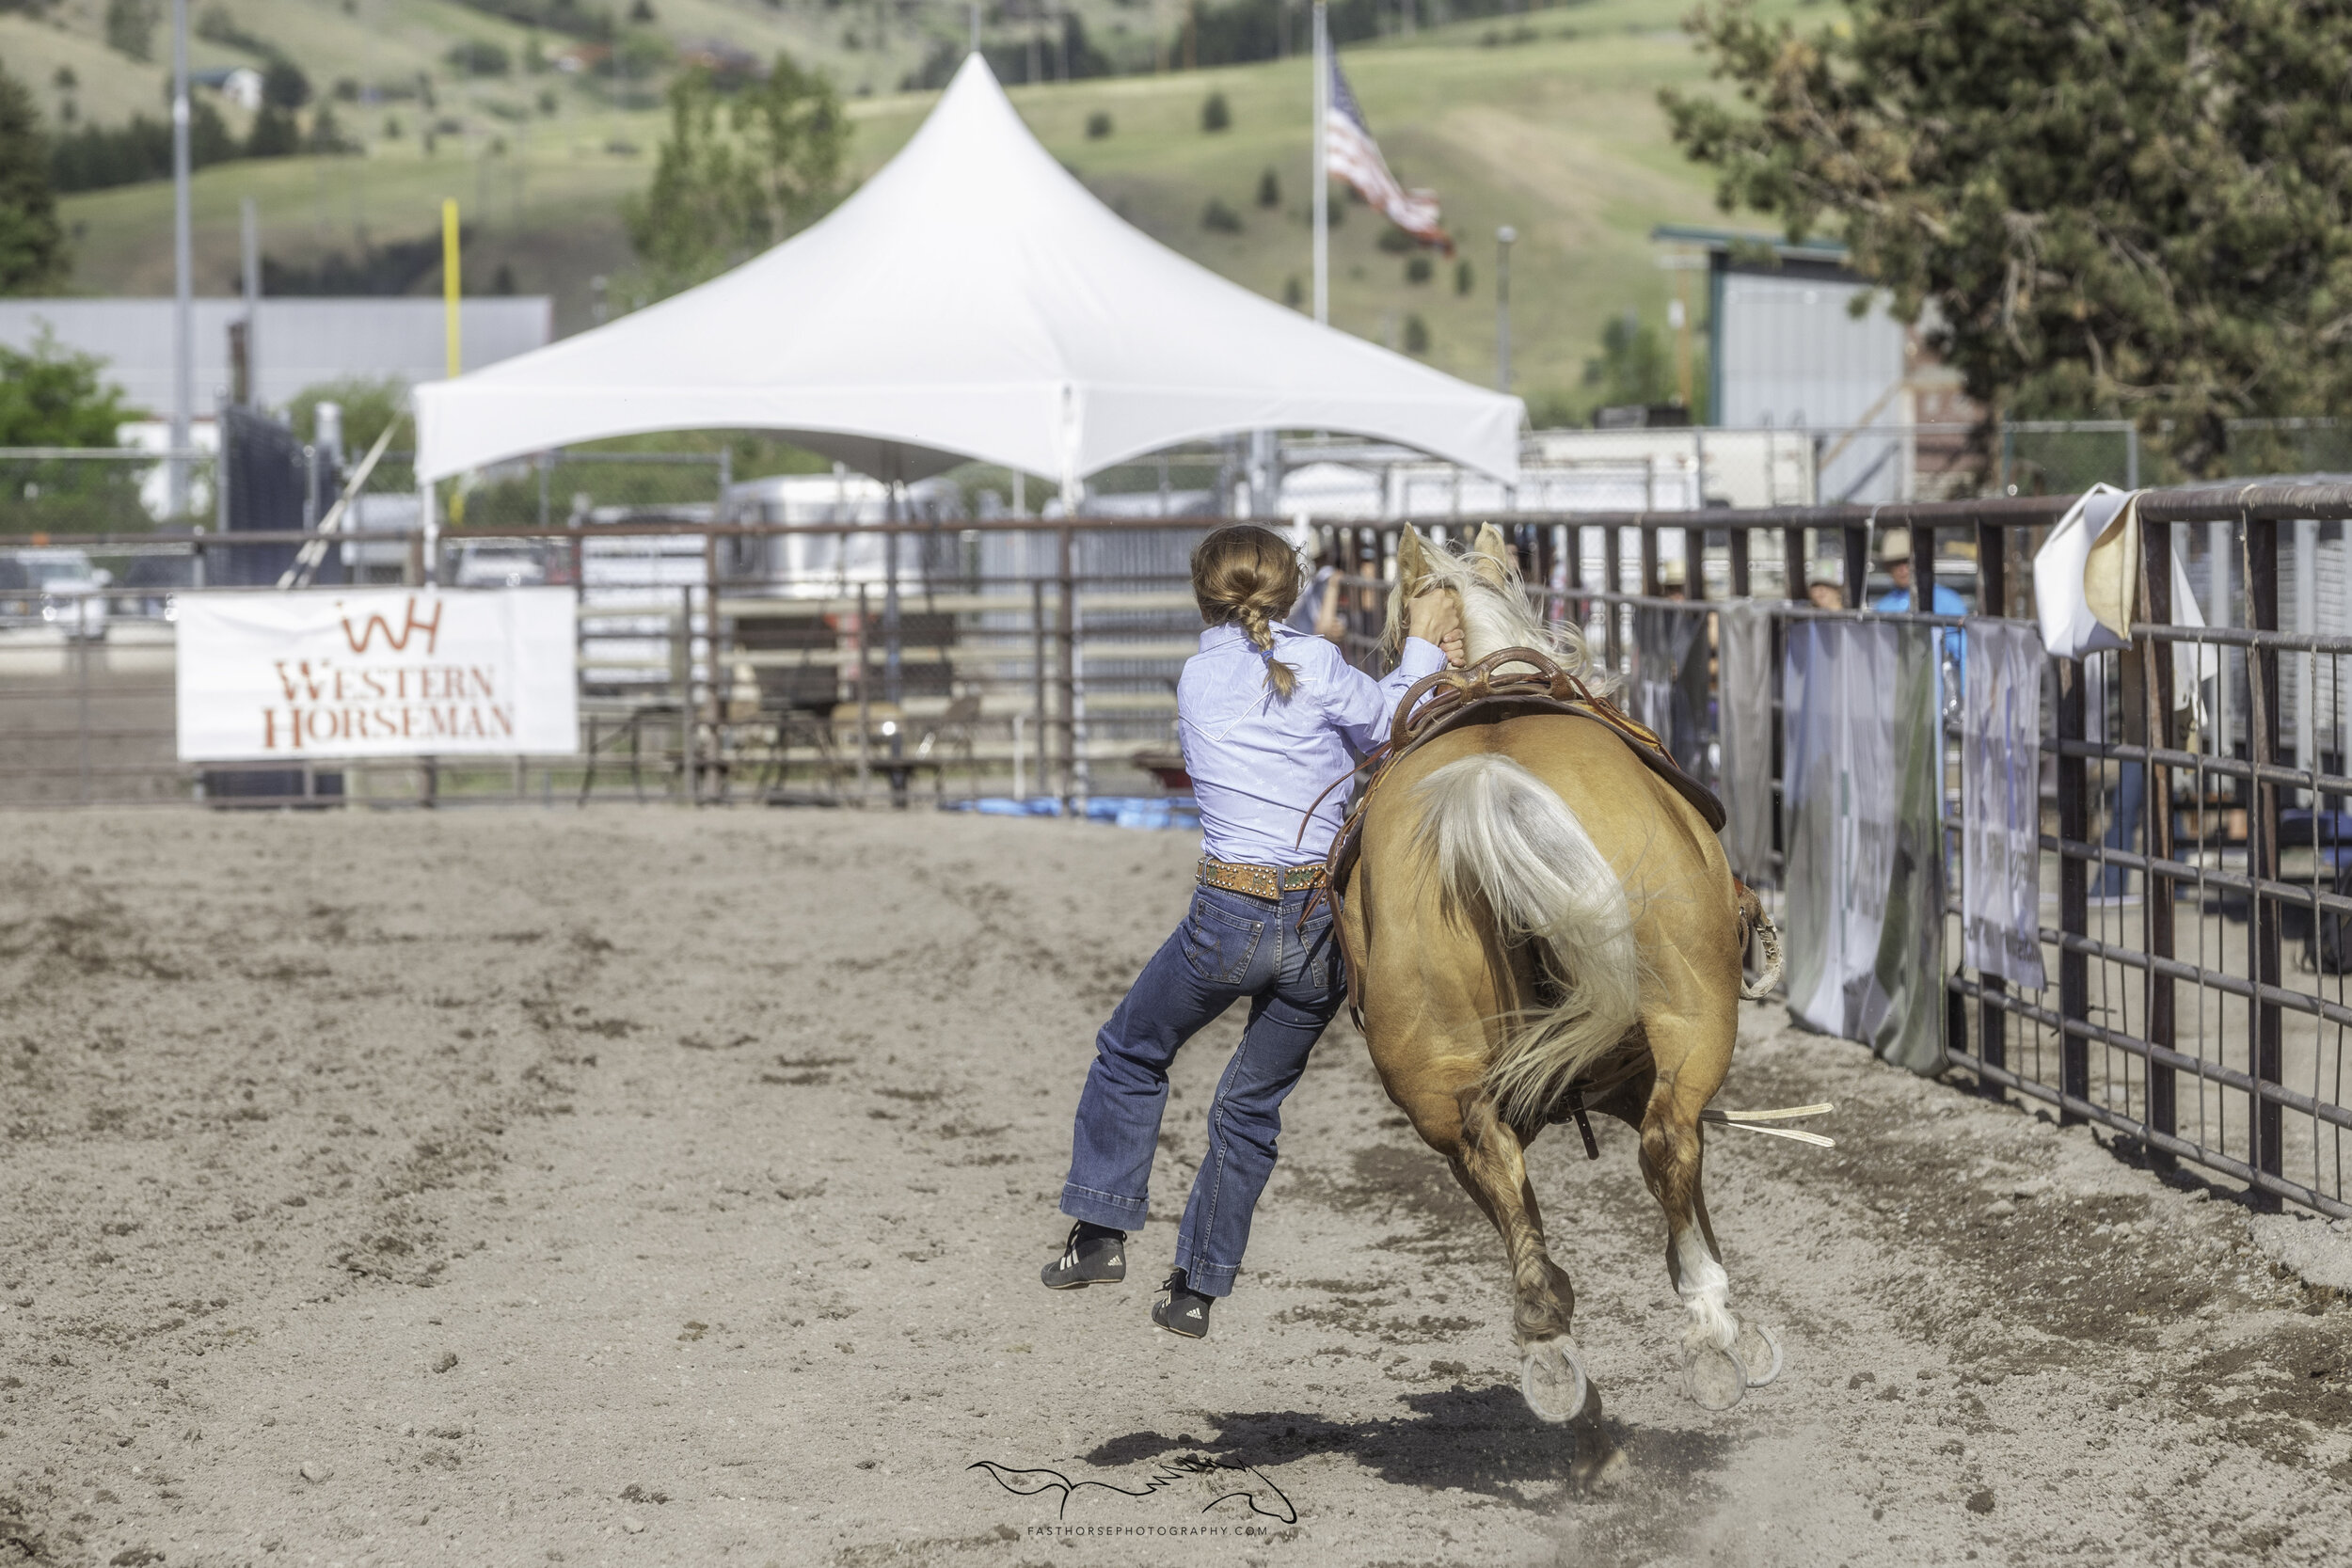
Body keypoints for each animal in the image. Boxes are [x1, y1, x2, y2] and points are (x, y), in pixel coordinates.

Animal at [1345, 524, 1778, 1457]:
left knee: (1499, 1170)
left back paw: (1553, 1356)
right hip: (1694, 1021)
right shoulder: (1633, 1071)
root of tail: (1490, 780)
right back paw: (1715, 1338)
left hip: (1442, 1087)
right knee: (1668, 1143)